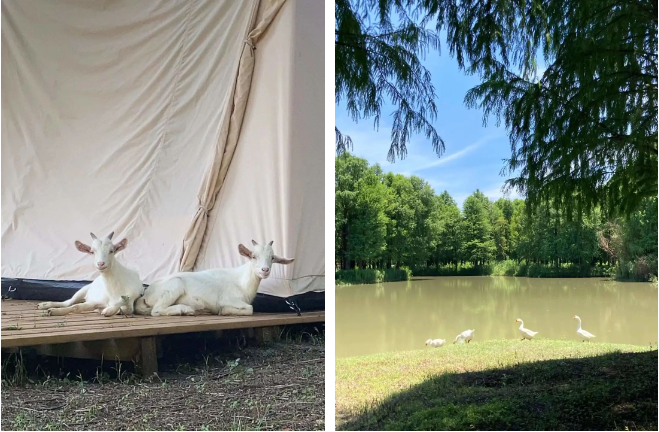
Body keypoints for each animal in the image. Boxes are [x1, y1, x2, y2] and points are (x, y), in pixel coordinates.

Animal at [135, 241, 296, 316]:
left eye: (272, 257)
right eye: (253, 256)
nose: (265, 270)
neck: (241, 281)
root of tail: (146, 293)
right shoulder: (227, 298)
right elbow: (249, 308)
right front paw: (224, 311)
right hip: (174, 285)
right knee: (156, 310)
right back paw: (185, 309)